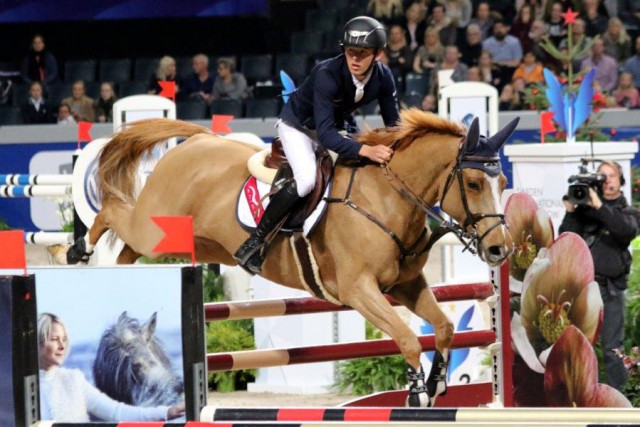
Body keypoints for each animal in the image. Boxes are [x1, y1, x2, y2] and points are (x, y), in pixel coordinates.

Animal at [71, 109, 517, 406]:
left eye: (503, 183)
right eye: (473, 183)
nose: (500, 250)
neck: (388, 199)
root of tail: (194, 141)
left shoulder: (405, 285)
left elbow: (443, 327)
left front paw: (439, 382)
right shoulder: (359, 291)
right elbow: (407, 336)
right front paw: (417, 392)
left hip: (187, 244)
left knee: (128, 246)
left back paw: (110, 270)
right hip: (156, 227)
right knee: (113, 213)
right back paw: (80, 250)